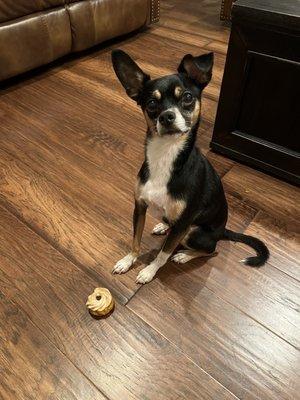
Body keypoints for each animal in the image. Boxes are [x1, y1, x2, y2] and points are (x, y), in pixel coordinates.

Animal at [110, 49, 270, 284]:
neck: (165, 155)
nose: (167, 116)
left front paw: (149, 270)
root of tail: (223, 230)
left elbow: (164, 253)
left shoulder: (184, 222)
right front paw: (128, 260)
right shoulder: (139, 206)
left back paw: (185, 255)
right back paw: (163, 225)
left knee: (211, 250)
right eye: (151, 103)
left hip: (193, 232)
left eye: (187, 97)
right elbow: (135, 239)